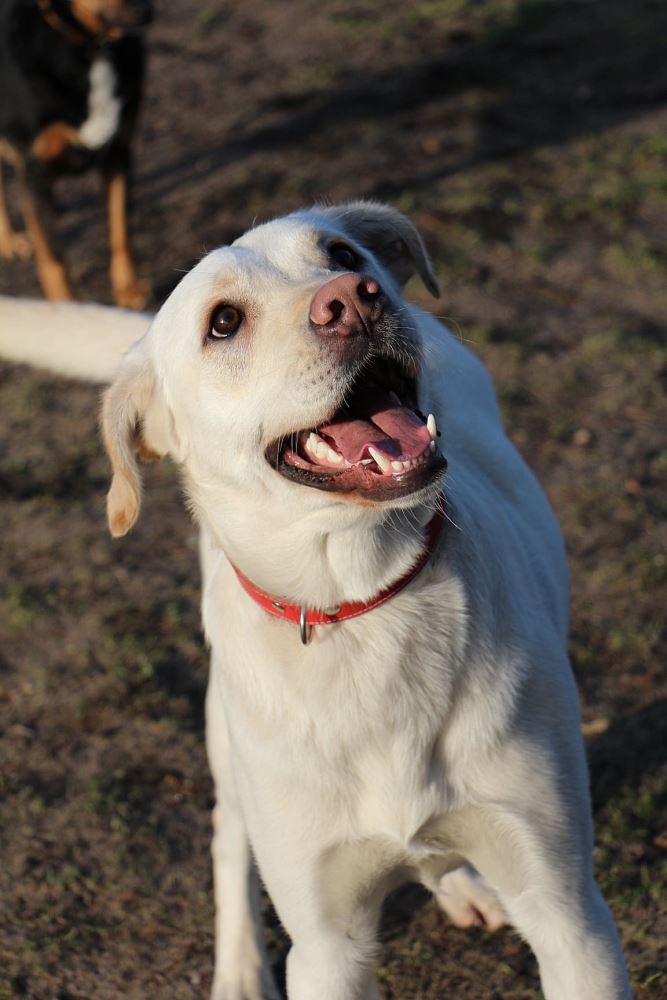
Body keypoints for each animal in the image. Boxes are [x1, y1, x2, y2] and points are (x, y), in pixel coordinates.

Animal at [0, 0, 152, 307]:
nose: (146, 13)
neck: (92, 48)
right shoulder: (34, 173)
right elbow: (54, 258)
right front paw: (64, 310)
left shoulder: (119, 153)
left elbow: (120, 229)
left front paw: (127, 290)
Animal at [0, 202, 631, 999]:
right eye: (223, 322)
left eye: (343, 252)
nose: (355, 299)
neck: (367, 599)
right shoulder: (328, 946)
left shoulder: (568, 912)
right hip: (226, 733)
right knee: (227, 834)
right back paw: (241, 969)